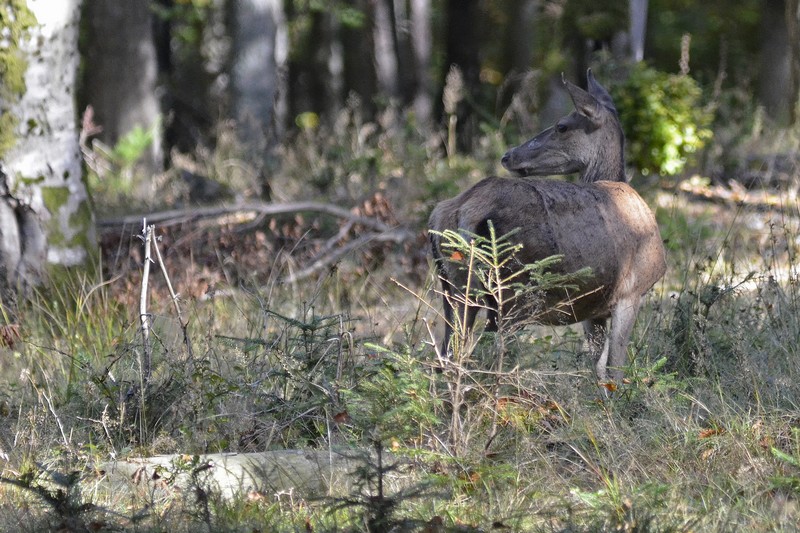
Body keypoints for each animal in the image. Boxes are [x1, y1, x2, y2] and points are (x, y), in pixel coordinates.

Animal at [428, 69, 664, 382]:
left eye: (561, 126)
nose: (508, 155)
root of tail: (464, 210)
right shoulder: (632, 291)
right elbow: (614, 369)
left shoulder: (596, 308)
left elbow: (599, 369)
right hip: (513, 290)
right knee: (491, 353)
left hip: (451, 284)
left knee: (448, 353)